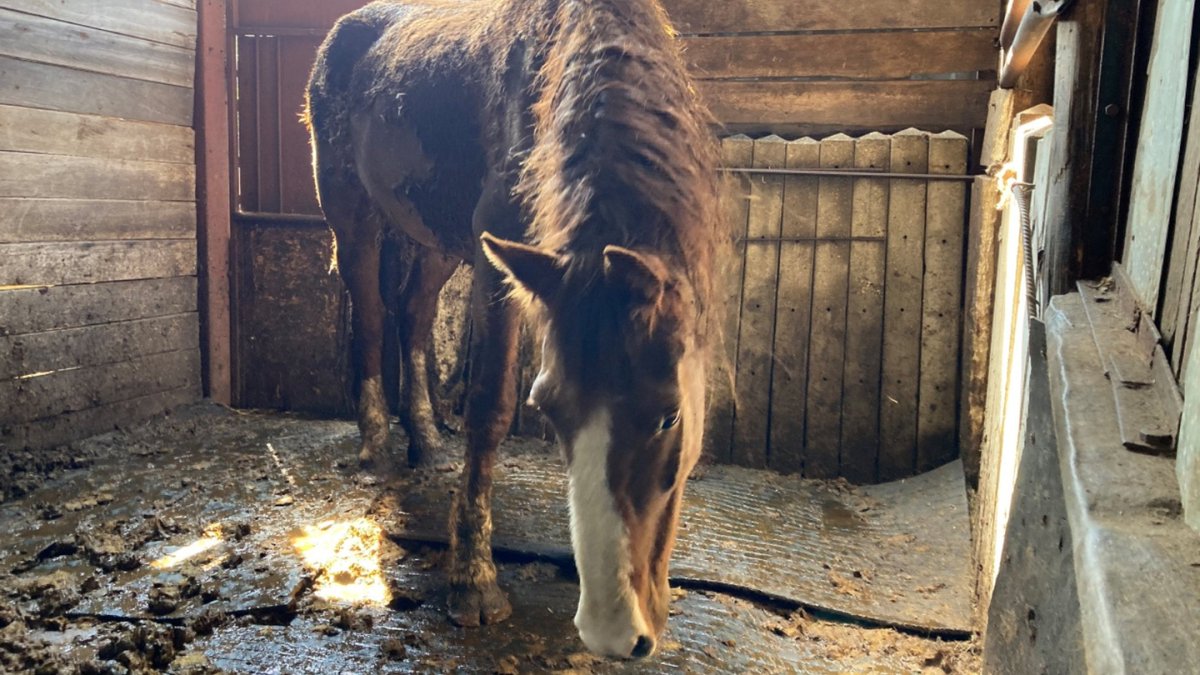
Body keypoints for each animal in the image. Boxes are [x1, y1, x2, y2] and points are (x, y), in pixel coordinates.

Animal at [305, 0, 723, 659]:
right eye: (546, 409)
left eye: (669, 417)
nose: (612, 633)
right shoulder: (499, 266)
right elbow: (489, 406)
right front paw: (473, 583)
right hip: (353, 217)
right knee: (371, 316)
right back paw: (377, 447)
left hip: (441, 240)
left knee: (413, 314)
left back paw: (426, 442)